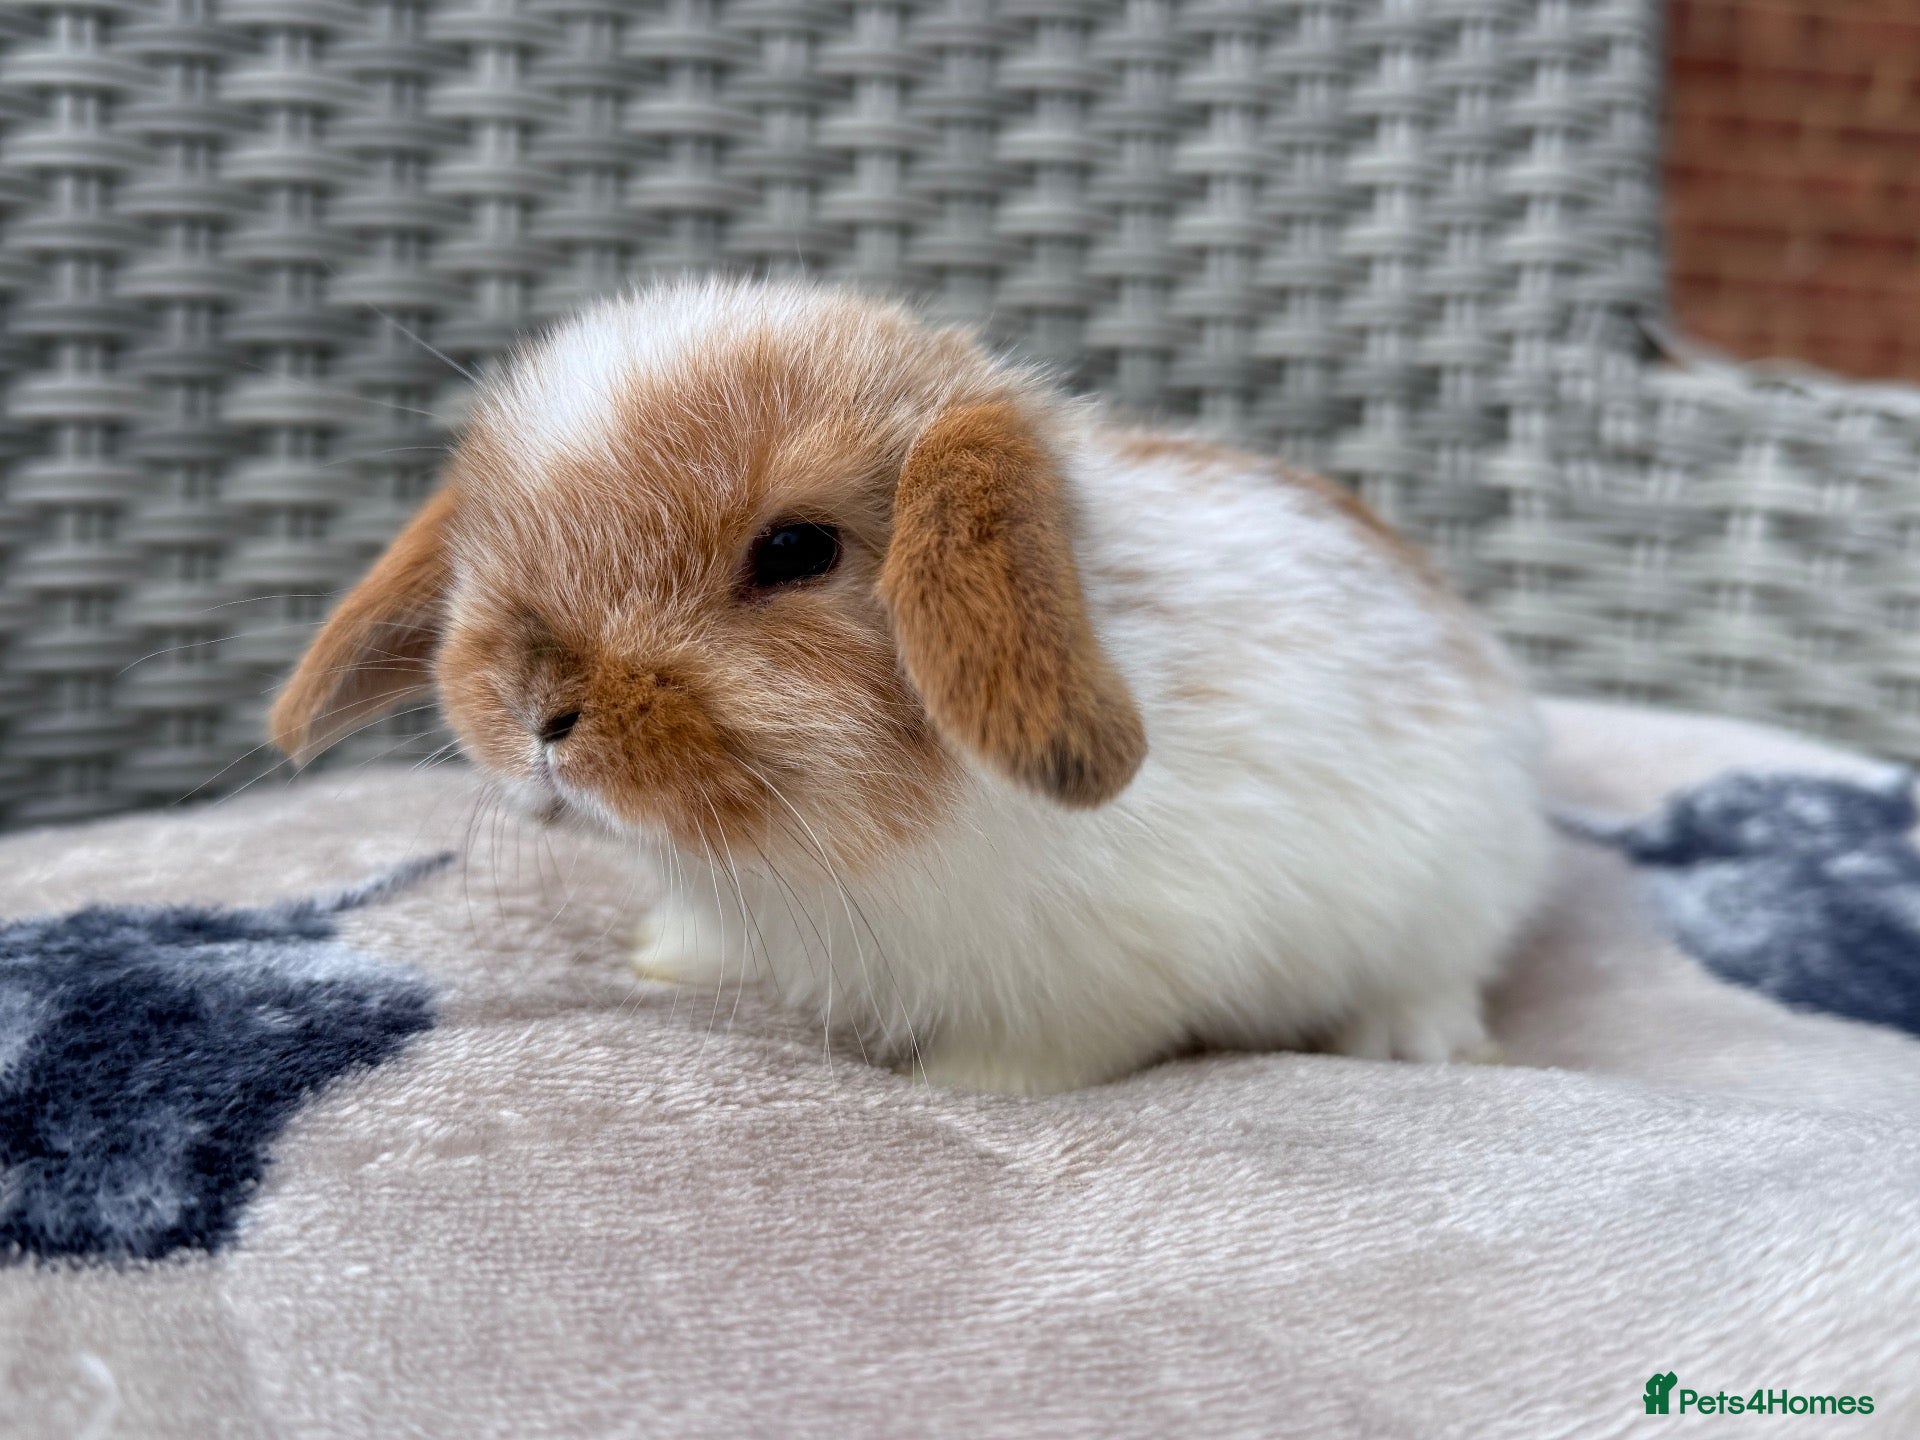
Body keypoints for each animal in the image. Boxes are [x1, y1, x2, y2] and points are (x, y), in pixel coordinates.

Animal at [270, 277, 1552, 1094]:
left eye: (796, 550)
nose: (536, 711)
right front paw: (668, 959)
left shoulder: (1113, 968)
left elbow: (1046, 1050)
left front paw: (966, 1092)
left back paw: (1413, 1042)